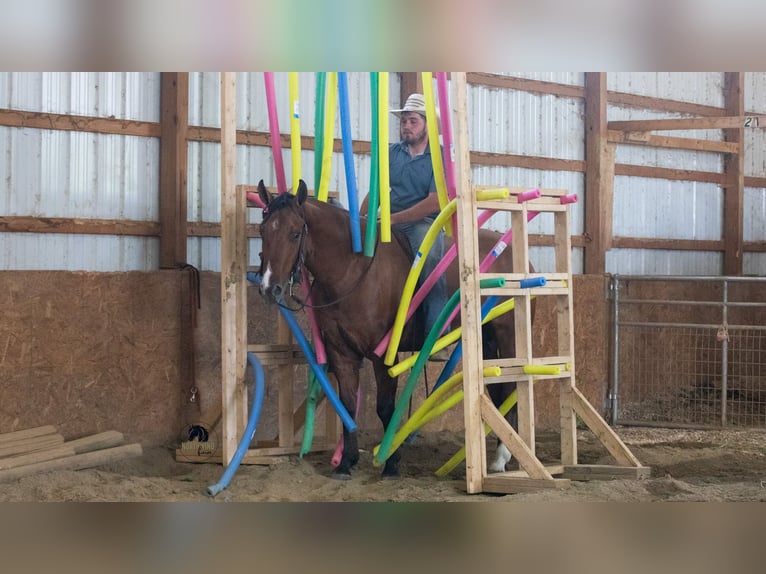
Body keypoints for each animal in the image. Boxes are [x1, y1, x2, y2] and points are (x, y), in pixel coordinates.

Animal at [256, 179, 533, 479]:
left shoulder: (383, 355)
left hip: (508, 336)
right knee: (498, 390)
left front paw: (390, 463)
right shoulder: (342, 354)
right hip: (487, 340)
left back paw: (502, 458)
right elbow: (347, 405)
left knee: (513, 387)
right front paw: (346, 462)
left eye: (295, 233)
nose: (269, 288)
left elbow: (385, 406)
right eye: (262, 230)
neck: (351, 270)